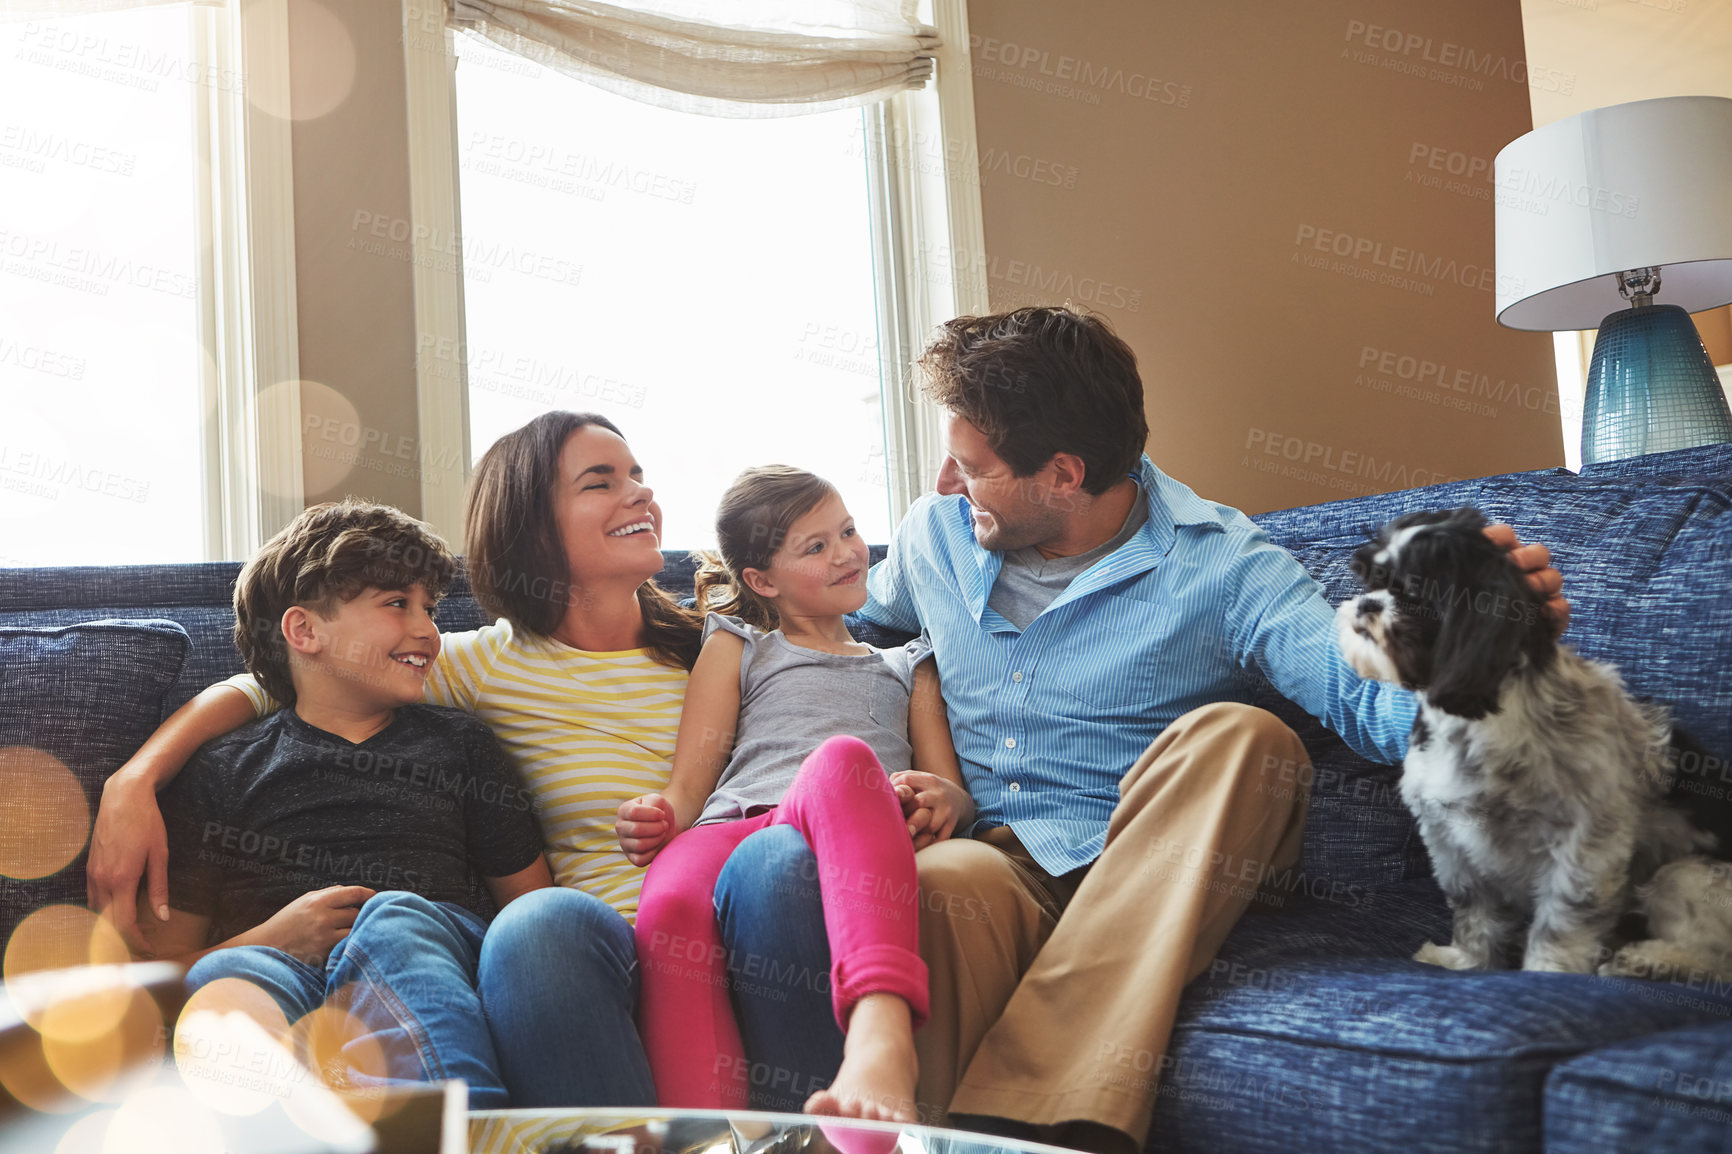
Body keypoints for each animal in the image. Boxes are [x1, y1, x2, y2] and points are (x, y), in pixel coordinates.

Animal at [1330, 509, 1725, 977]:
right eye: (1369, 582)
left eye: (1413, 594)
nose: (1366, 604)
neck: (1470, 725)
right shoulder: (1452, 840)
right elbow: (1473, 912)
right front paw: (1466, 960)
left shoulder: (1585, 848)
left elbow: (1561, 925)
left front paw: (1546, 973)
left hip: (1684, 876)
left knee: (1717, 957)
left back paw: (1649, 961)